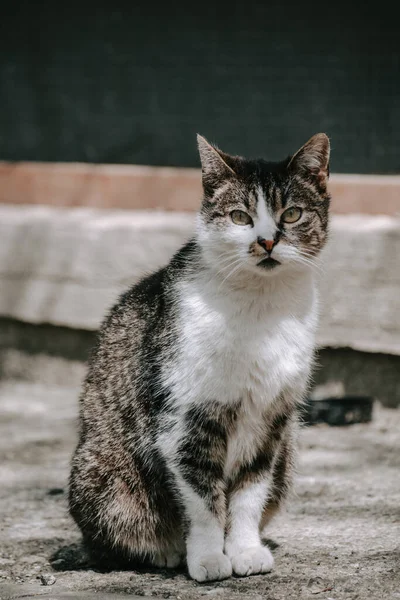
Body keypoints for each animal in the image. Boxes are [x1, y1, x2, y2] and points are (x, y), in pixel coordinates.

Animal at [69, 131, 332, 580]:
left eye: (293, 214)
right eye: (240, 217)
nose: (266, 240)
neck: (259, 306)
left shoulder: (271, 422)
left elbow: (247, 495)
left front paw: (244, 550)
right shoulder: (185, 421)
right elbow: (203, 499)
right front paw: (209, 557)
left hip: (289, 453)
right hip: (102, 477)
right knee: (114, 539)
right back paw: (166, 552)